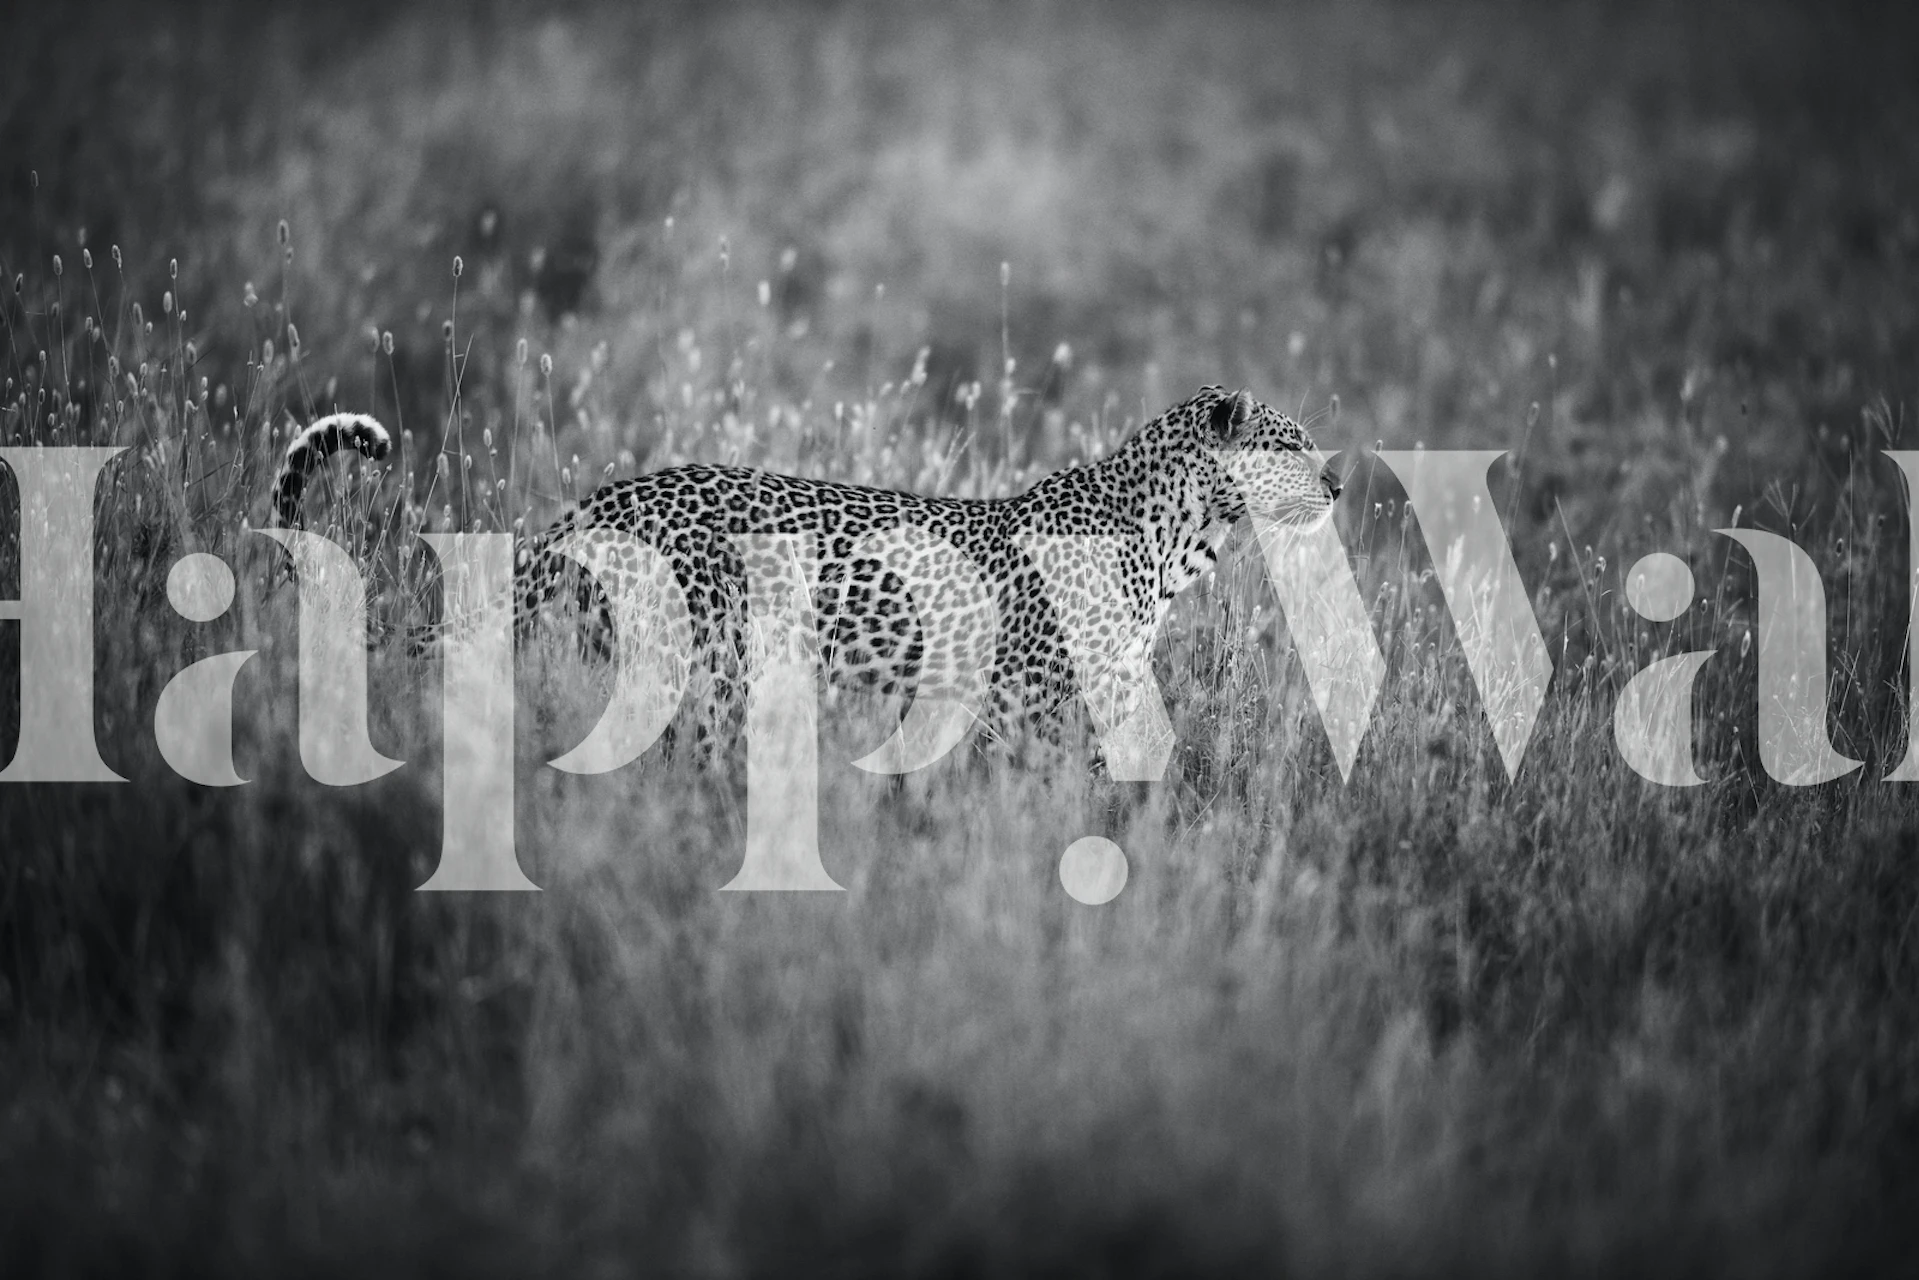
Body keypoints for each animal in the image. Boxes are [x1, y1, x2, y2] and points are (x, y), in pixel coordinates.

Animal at [270, 385, 1342, 757]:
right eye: (1289, 443)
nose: (1336, 480)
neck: (1178, 537)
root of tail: (594, 504)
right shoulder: (1024, 702)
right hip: (704, 671)